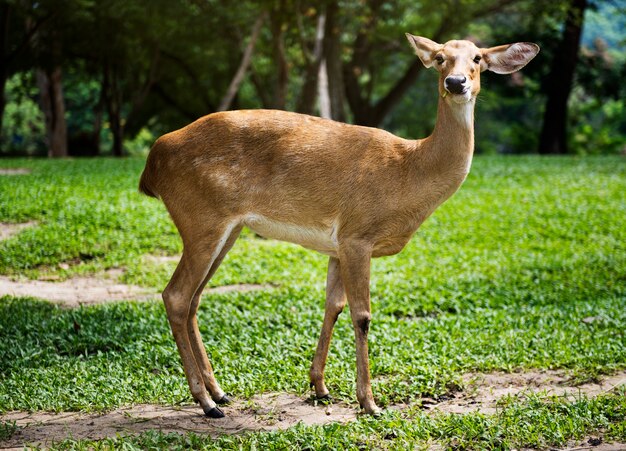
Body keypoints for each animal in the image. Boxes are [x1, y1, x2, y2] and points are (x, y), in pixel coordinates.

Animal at [138, 33, 536, 418]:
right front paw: (370, 403)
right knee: (176, 295)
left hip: (226, 229)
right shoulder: (358, 234)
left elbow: (334, 306)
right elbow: (362, 315)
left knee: (193, 298)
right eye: (440, 58)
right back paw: (206, 404)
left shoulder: (337, 245)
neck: (408, 171)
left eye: (478, 58)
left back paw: (220, 393)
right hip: (201, 219)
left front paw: (320, 386)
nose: (455, 83)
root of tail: (153, 161)